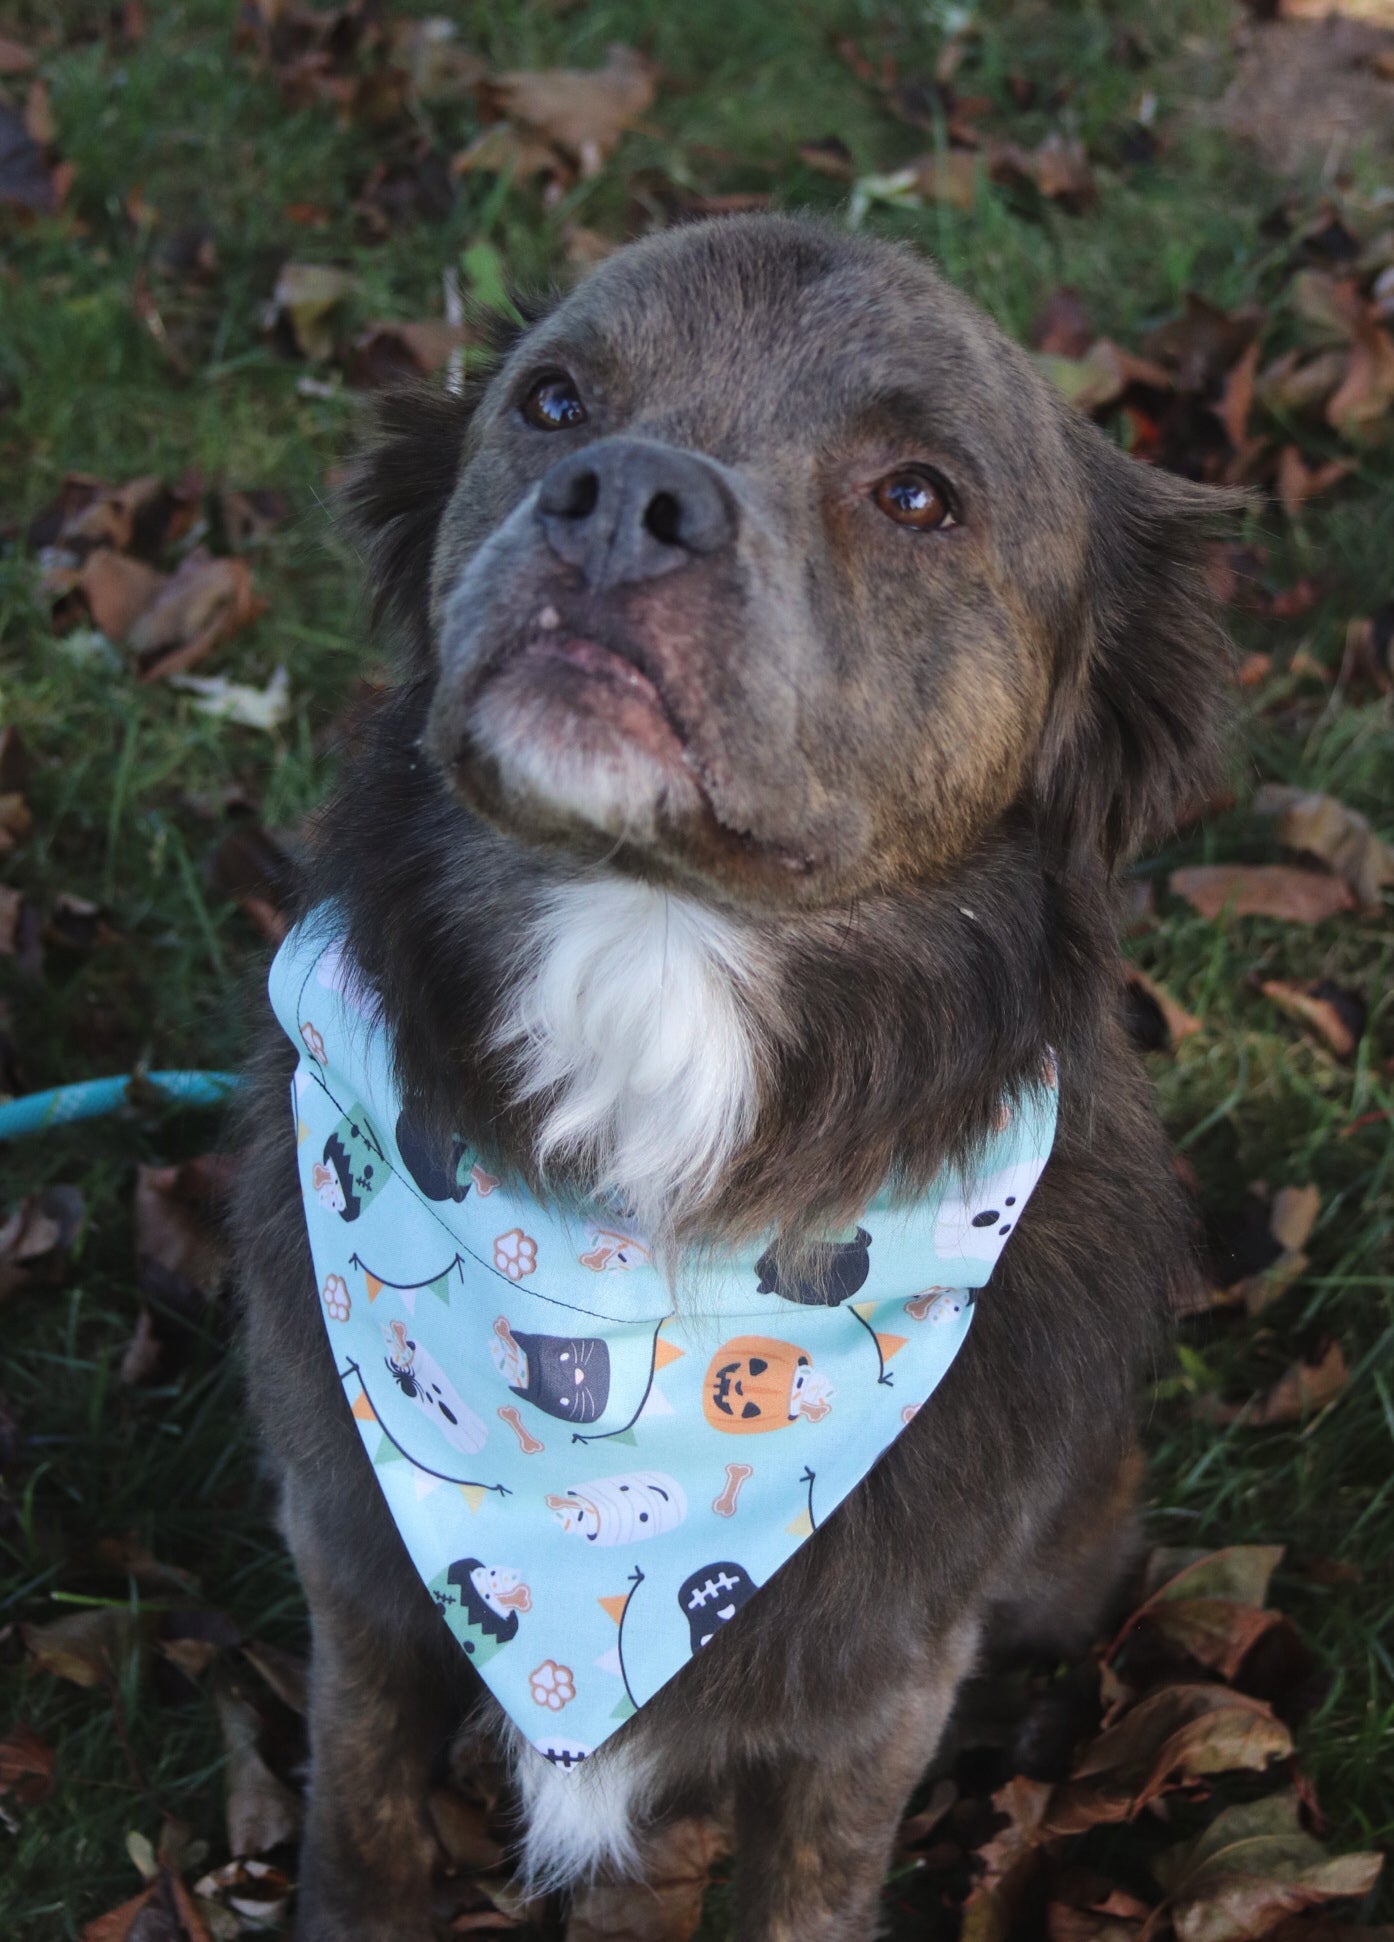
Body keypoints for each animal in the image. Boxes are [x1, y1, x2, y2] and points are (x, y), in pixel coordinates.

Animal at [234, 216, 1242, 1942]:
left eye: (917, 494)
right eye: (553, 400)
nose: (621, 497)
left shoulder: (876, 1691)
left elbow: (803, 1891)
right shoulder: (352, 1575)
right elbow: (360, 1833)